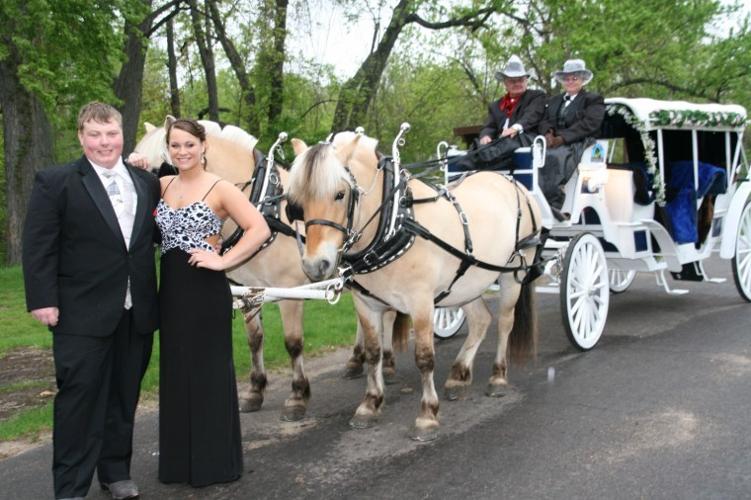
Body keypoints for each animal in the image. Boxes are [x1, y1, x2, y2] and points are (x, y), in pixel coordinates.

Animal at [134, 119, 400, 420]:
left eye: (161, 169)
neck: (264, 211)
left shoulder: (289, 292)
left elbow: (293, 343)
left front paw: (297, 396)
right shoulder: (248, 291)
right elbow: (254, 339)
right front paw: (255, 390)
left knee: (389, 313)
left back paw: (387, 364)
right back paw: (356, 360)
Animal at [286, 131, 540, 440]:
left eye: (340, 194)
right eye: (298, 200)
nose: (315, 265)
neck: (395, 224)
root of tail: (511, 182)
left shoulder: (421, 303)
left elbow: (424, 357)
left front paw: (427, 414)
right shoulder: (366, 304)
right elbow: (373, 353)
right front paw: (370, 404)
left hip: (513, 272)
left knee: (504, 322)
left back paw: (498, 377)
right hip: (468, 282)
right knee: (481, 320)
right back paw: (459, 376)